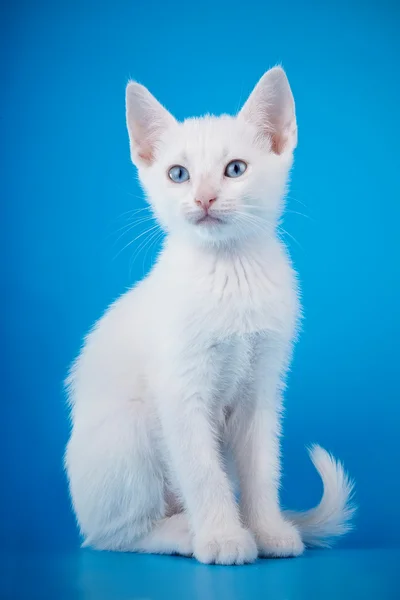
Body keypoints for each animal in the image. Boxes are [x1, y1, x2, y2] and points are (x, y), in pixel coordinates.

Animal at [65, 68, 356, 564]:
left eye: (235, 169)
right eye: (178, 174)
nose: (203, 198)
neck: (229, 271)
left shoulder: (262, 388)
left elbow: (262, 467)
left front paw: (266, 530)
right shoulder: (180, 390)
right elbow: (202, 472)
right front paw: (223, 538)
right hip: (127, 434)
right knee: (113, 535)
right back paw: (184, 532)